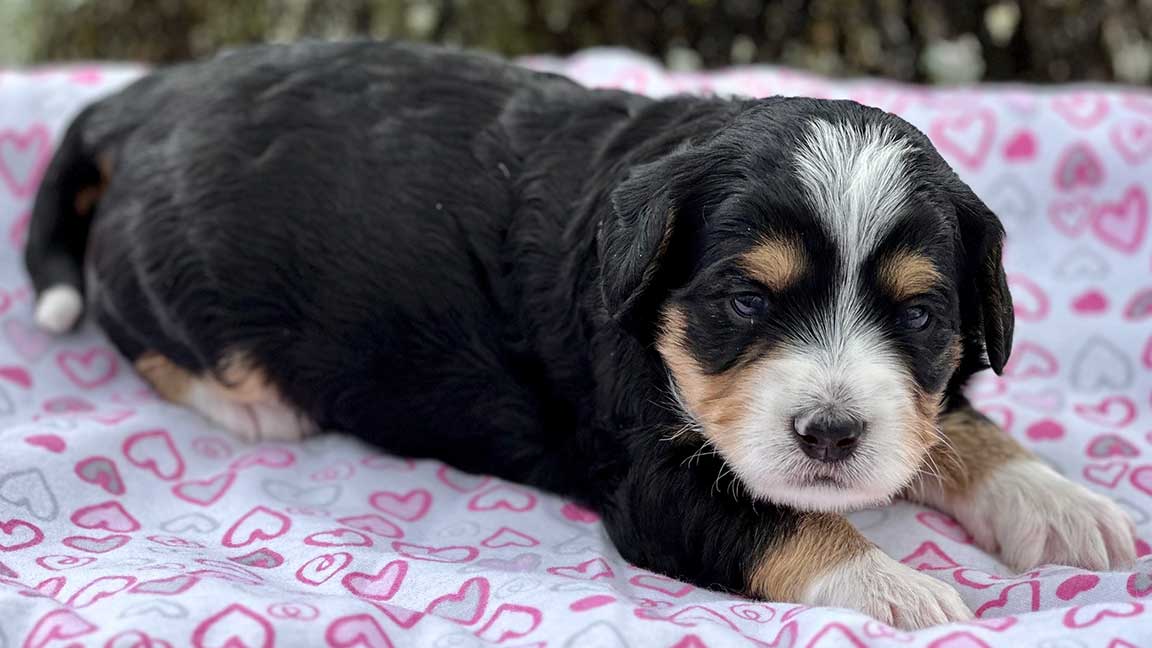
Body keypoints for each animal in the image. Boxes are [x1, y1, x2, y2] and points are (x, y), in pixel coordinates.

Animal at [24, 40, 1133, 627]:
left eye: (919, 315)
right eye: (745, 303)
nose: (830, 437)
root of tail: (148, 99)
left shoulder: (918, 393)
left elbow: (953, 422)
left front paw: (1063, 504)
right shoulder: (652, 483)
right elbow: (789, 524)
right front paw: (901, 591)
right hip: (164, 277)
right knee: (134, 327)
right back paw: (250, 404)